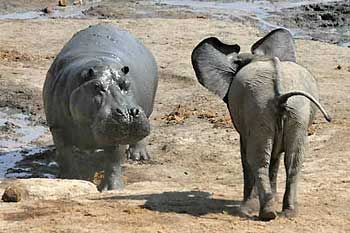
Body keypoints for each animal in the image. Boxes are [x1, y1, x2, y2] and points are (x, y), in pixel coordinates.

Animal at [43, 24, 158, 191]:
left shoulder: (116, 133)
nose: (128, 113)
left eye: (126, 83)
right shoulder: (57, 127)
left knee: (138, 139)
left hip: (146, 113)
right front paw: (71, 180)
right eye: (97, 86)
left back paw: (139, 157)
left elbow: (114, 160)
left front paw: (112, 189)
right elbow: (66, 155)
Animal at [191, 28, 330, 220]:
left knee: (257, 159)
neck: (258, 57)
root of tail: (280, 93)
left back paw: (261, 212)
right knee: (293, 160)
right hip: (295, 111)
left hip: (261, 109)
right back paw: (287, 212)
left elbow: (246, 153)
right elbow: (276, 156)